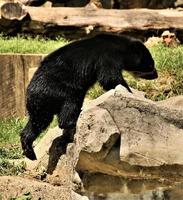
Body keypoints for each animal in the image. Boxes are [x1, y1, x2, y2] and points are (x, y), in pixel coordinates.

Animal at [20, 33, 157, 160]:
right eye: (151, 65)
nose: (156, 75)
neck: (121, 47)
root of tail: (31, 91)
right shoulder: (108, 56)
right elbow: (109, 77)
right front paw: (129, 91)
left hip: (41, 104)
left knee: (37, 122)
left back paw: (29, 151)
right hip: (60, 88)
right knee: (71, 103)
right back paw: (73, 119)